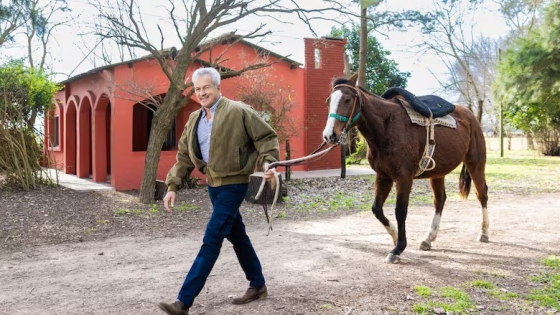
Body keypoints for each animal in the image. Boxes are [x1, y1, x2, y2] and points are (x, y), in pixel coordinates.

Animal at [322, 74, 488, 264]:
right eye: (328, 101)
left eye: (347, 99)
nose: (329, 135)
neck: (386, 128)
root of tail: (470, 116)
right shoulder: (383, 176)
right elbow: (377, 209)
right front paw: (395, 237)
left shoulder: (404, 177)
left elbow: (400, 210)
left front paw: (398, 248)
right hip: (438, 173)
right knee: (440, 200)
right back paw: (428, 238)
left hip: (476, 164)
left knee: (482, 193)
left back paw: (484, 232)